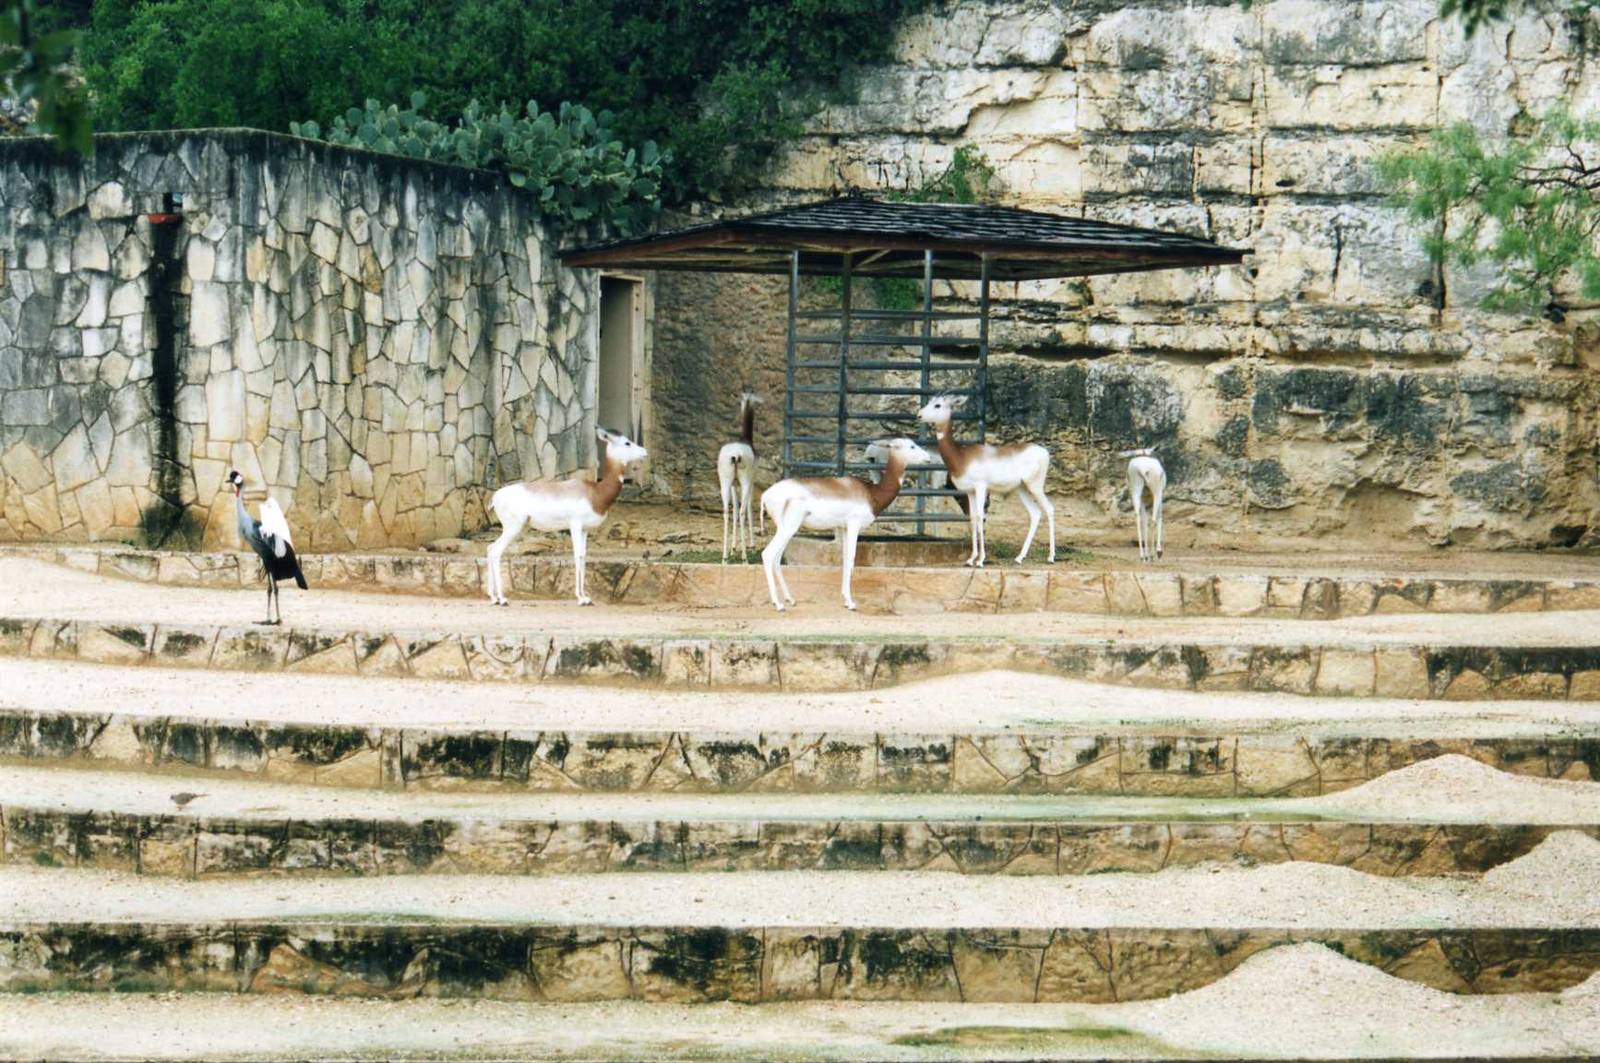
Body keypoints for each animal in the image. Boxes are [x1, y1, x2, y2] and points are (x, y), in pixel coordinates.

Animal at [484, 427, 647, 606]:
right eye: (627, 443)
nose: (645, 451)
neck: (595, 492)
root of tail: (495, 496)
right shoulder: (575, 525)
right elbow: (576, 555)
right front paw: (580, 598)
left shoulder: (584, 530)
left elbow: (583, 556)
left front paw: (586, 597)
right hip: (513, 528)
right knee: (496, 551)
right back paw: (502, 598)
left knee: (490, 548)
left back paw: (493, 597)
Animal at [717, 393, 760, 563]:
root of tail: (735, 455)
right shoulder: (750, 482)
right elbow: (748, 508)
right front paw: (751, 547)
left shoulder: (734, 486)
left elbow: (734, 509)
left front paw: (733, 549)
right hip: (745, 482)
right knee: (742, 512)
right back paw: (745, 557)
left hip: (725, 483)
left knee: (726, 512)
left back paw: (724, 558)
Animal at [759, 438, 932, 611]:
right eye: (912, 446)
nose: (929, 458)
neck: (871, 493)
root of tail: (765, 495)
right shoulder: (854, 525)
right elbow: (851, 558)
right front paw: (851, 602)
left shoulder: (843, 528)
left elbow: (844, 558)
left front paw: (845, 598)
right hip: (789, 528)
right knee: (768, 554)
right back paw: (778, 604)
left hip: (785, 529)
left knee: (777, 558)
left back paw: (790, 599)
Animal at [917, 394, 1055, 566]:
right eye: (929, 401)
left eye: (937, 405)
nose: (919, 415)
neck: (961, 457)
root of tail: (1044, 451)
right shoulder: (969, 492)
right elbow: (972, 518)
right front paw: (971, 559)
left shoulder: (981, 487)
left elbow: (980, 516)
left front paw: (981, 559)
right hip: (1022, 489)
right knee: (1035, 513)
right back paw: (1019, 557)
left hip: (1035, 486)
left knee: (1049, 509)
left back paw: (1051, 557)